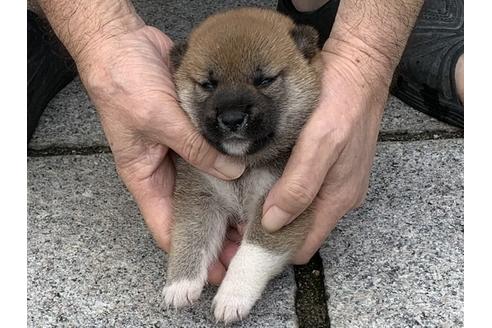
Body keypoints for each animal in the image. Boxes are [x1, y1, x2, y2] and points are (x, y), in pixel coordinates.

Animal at [163, 7, 320, 322]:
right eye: (208, 84)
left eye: (264, 80)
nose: (232, 118)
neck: (244, 164)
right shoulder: (199, 193)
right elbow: (190, 234)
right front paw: (180, 282)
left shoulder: (279, 209)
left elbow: (253, 253)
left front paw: (233, 296)